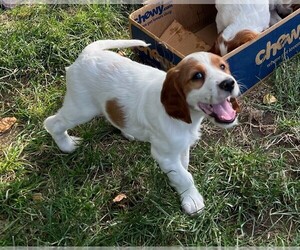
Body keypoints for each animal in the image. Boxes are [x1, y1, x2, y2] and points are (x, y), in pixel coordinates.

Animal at [44, 39, 240, 215]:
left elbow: (182, 168)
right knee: (52, 123)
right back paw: (67, 145)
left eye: (223, 66)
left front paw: (179, 188)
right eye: (197, 76)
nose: (229, 83)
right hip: (81, 108)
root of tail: (88, 53)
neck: (188, 118)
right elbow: (185, 177)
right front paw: (192, 200)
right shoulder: (164, 154)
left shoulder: (181, 147)